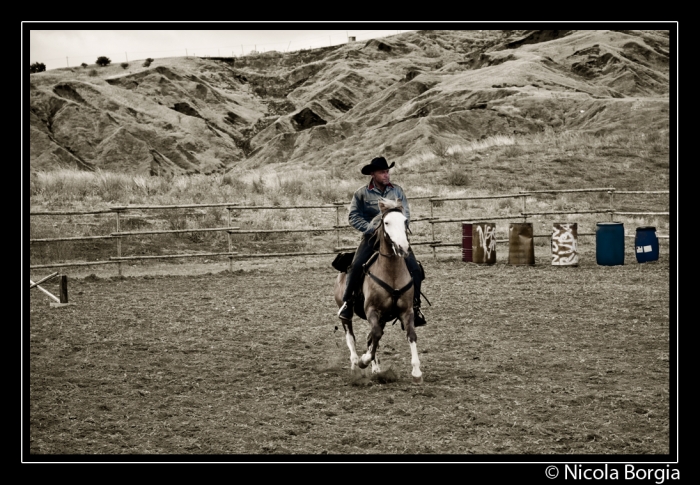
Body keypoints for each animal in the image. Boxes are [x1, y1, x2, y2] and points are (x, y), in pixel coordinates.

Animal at [332, 197, 424, 382]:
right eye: (386, 222)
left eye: (404, 221)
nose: (403, 247)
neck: (391, 273)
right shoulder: (372, 310)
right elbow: (374, 334)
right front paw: (364, 361)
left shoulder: (407, 310)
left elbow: (410, 334)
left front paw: (416, 371)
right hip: (346, 314)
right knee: (351, 337)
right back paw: (355, 365)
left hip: (383, 317)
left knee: (372, 337)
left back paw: (375, 368)